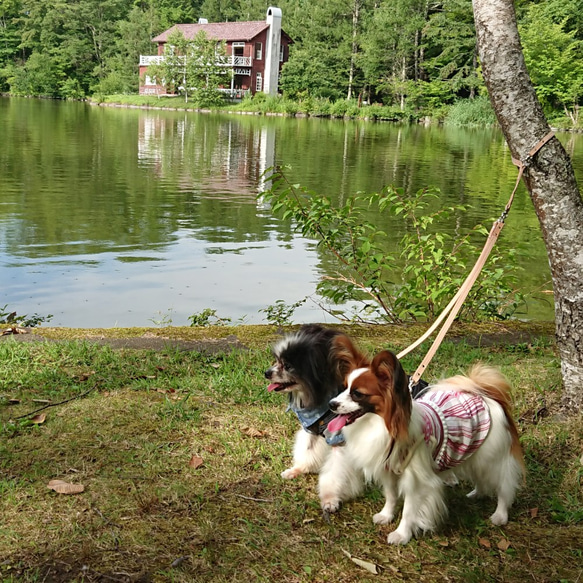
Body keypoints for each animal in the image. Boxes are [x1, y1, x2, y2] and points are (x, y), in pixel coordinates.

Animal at [328, 352, 524, 548]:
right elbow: (391, 496)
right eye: (343, 388)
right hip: (475, 453)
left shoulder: (416, 480)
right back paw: (477, 494)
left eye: (357, 394)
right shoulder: (388, 471)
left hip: (492, 459)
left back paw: (500, 515)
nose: (331, 404)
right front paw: (386, 515)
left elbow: (409, 510)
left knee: (504, 485)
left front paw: (401, 534)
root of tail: (486, 396)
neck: (382, 425)